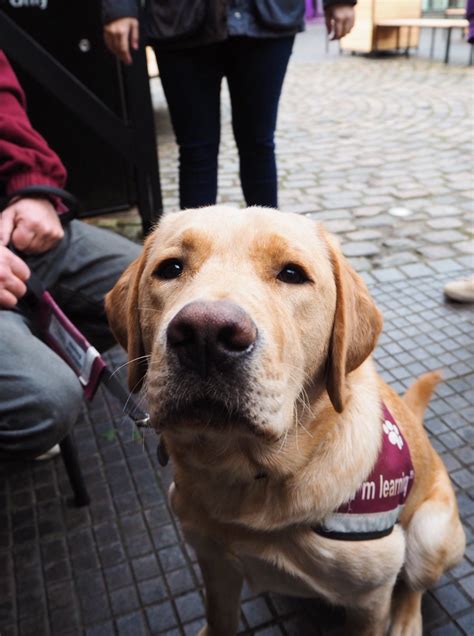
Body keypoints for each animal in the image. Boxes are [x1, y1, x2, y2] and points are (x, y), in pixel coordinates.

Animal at [105, 206, 464, 632]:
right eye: (170, 268)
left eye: (292, 273)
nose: (206, 333)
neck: (250, 477)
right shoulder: (214, 563)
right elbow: (220, 619)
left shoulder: (370, 600)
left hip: (428, 535)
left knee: (413, 587)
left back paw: (407, 622)